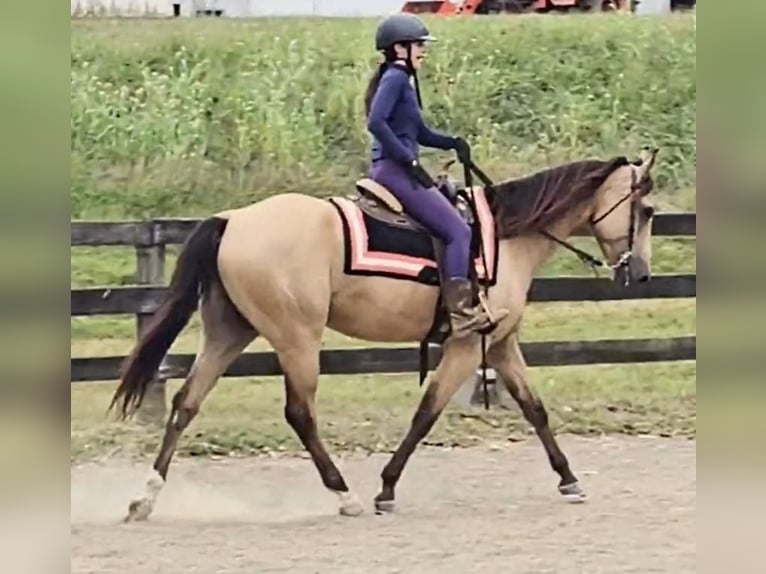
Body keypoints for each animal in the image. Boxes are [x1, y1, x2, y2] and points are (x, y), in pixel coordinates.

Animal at [109, 147, 659, 522]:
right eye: (648, 211)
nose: (642, 273)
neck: (505, 234)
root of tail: (235, 220)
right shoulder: (465, 345)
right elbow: (426, 413)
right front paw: (386, 489)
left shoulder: (500, 345)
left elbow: (535, 409)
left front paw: (569, 479)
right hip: (296, 339)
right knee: (299, 413)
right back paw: (345, 495)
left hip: (229, 332)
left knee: (186, 403)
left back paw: (144, 498)